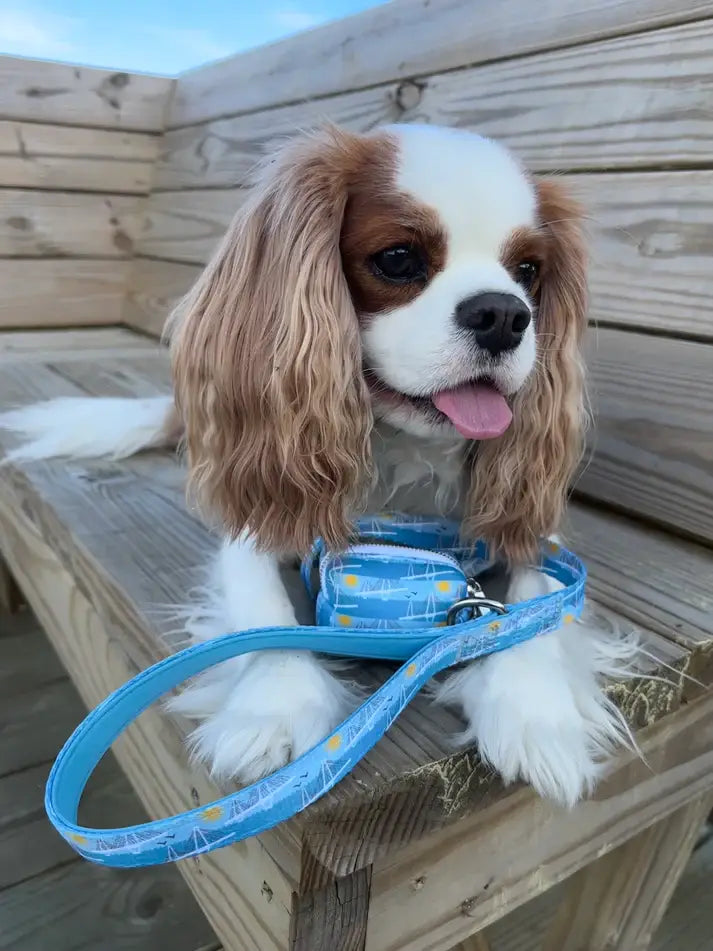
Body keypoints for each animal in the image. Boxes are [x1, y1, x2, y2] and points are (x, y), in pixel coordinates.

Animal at [0, 124, 636, 812]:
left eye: (528, 271)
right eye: (397, 258)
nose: (504, 314)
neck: (401, 459)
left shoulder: (528, 530)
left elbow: (533, 604)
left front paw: (534, 713)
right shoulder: (259, 521)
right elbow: (267, 616)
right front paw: (273, 709)